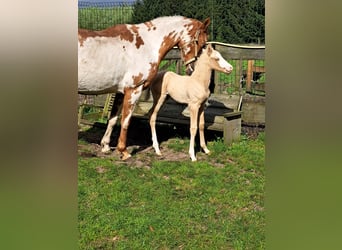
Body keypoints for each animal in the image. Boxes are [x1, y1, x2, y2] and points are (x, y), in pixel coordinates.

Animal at [78, 16, 210, 160]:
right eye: (202, 43)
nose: (193, 70)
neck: (147, 45)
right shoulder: (134, 89)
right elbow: (125, 121)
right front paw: (124, 151)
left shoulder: (120, 92)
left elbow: (113, 119)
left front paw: (106, 146)